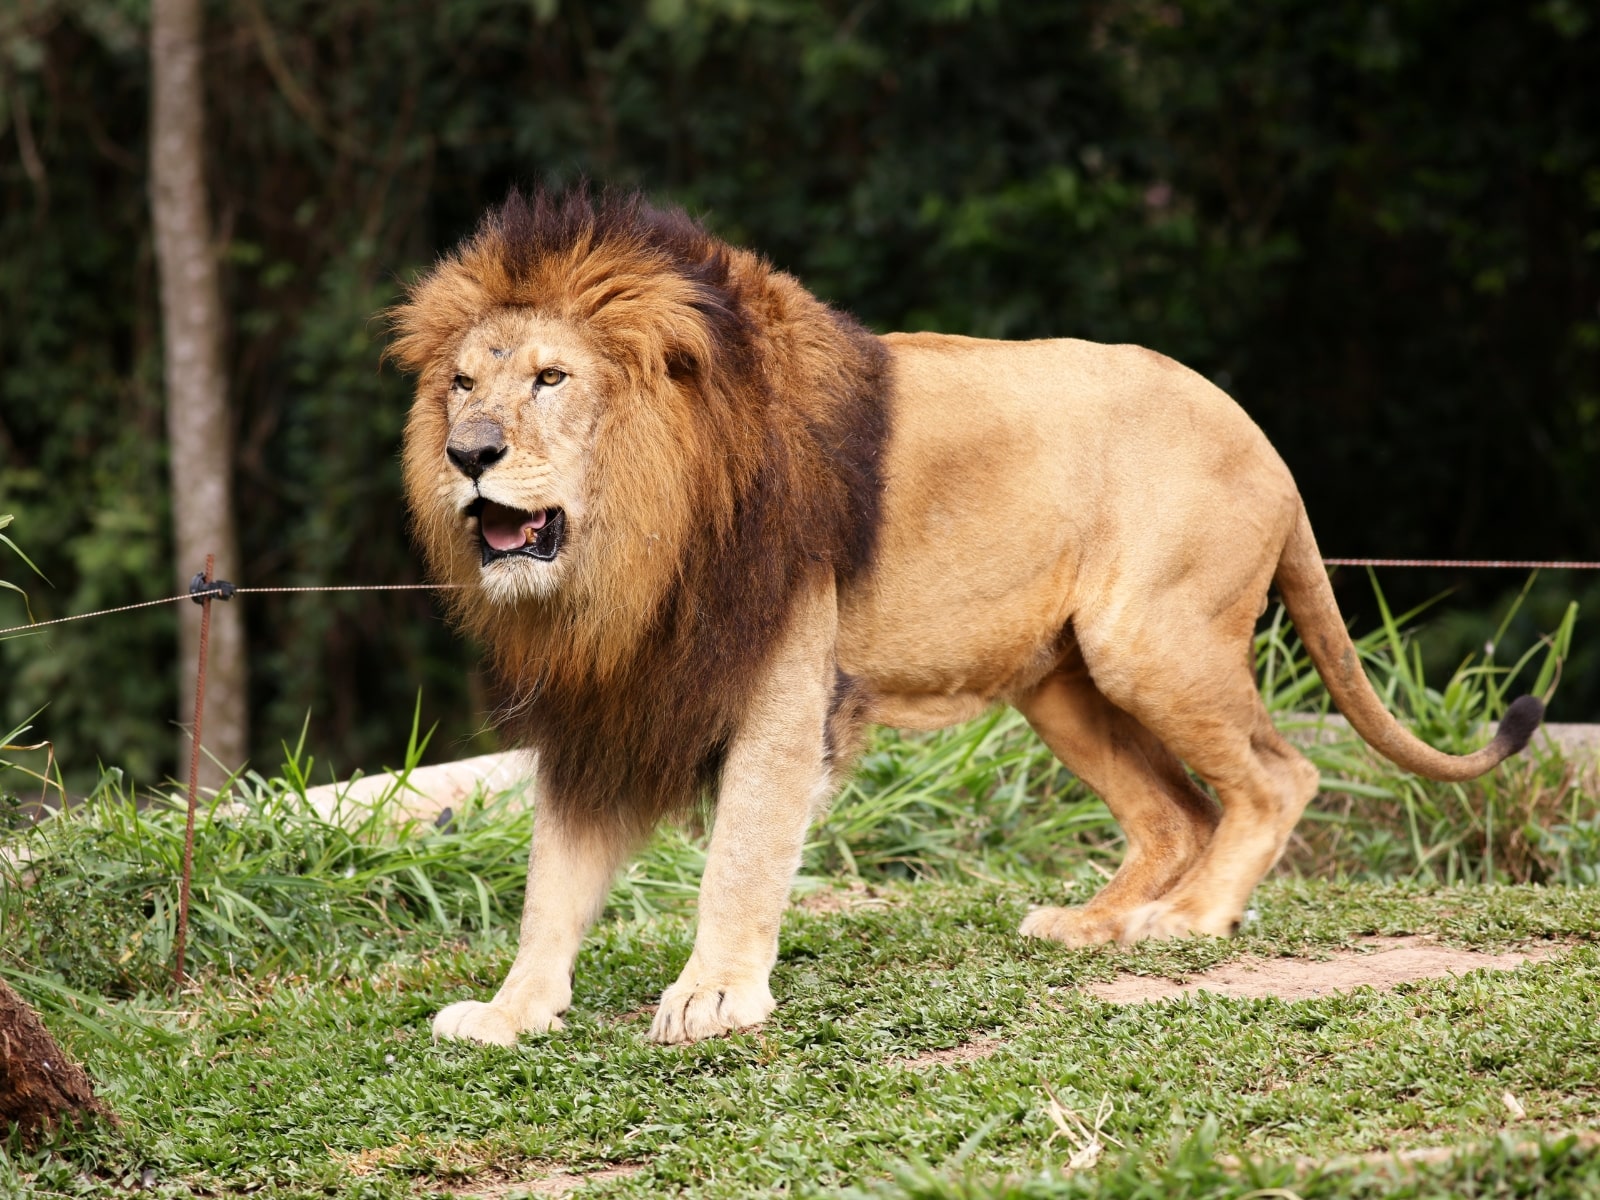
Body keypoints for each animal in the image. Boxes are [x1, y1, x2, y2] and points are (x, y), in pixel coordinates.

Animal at [390, 188, 1543, 1047]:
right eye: (462, 384)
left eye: (552, 378)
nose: (469, 453)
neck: (632, 547)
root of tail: (1262, 438)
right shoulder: (606, 702)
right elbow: (555, 877)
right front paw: (509, 1013)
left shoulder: (781, 686)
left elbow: (742, 854)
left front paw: (712, 994)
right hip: (1062, 682)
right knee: (1178, 812)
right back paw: (1090, 925)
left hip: (1150, 641)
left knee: (1276, 777)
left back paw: (1185, 921)